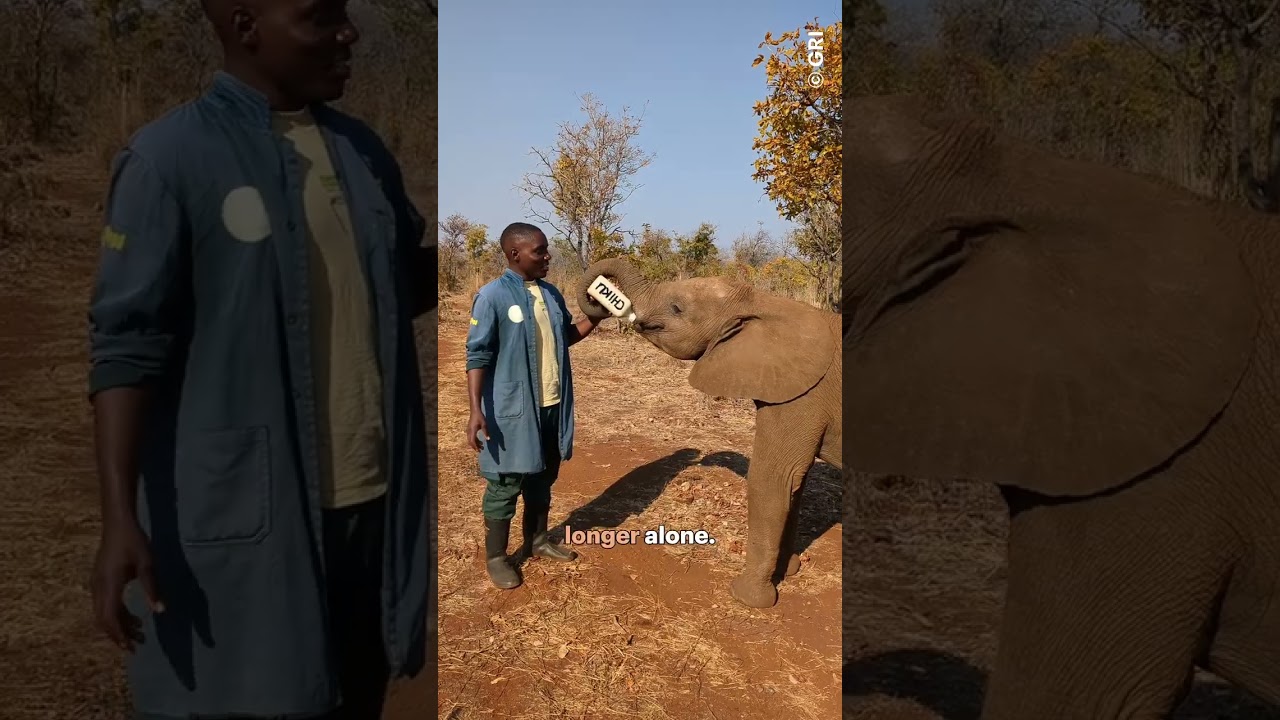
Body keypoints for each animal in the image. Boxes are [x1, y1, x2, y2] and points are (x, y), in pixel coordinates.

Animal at [575, 258, 841, 609]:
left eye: (676, 308)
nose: (604, 300)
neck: (762, 302)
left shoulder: (803, 395)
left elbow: (773, 477)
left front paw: (747, 598)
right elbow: (795, 482)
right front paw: (789, 569)